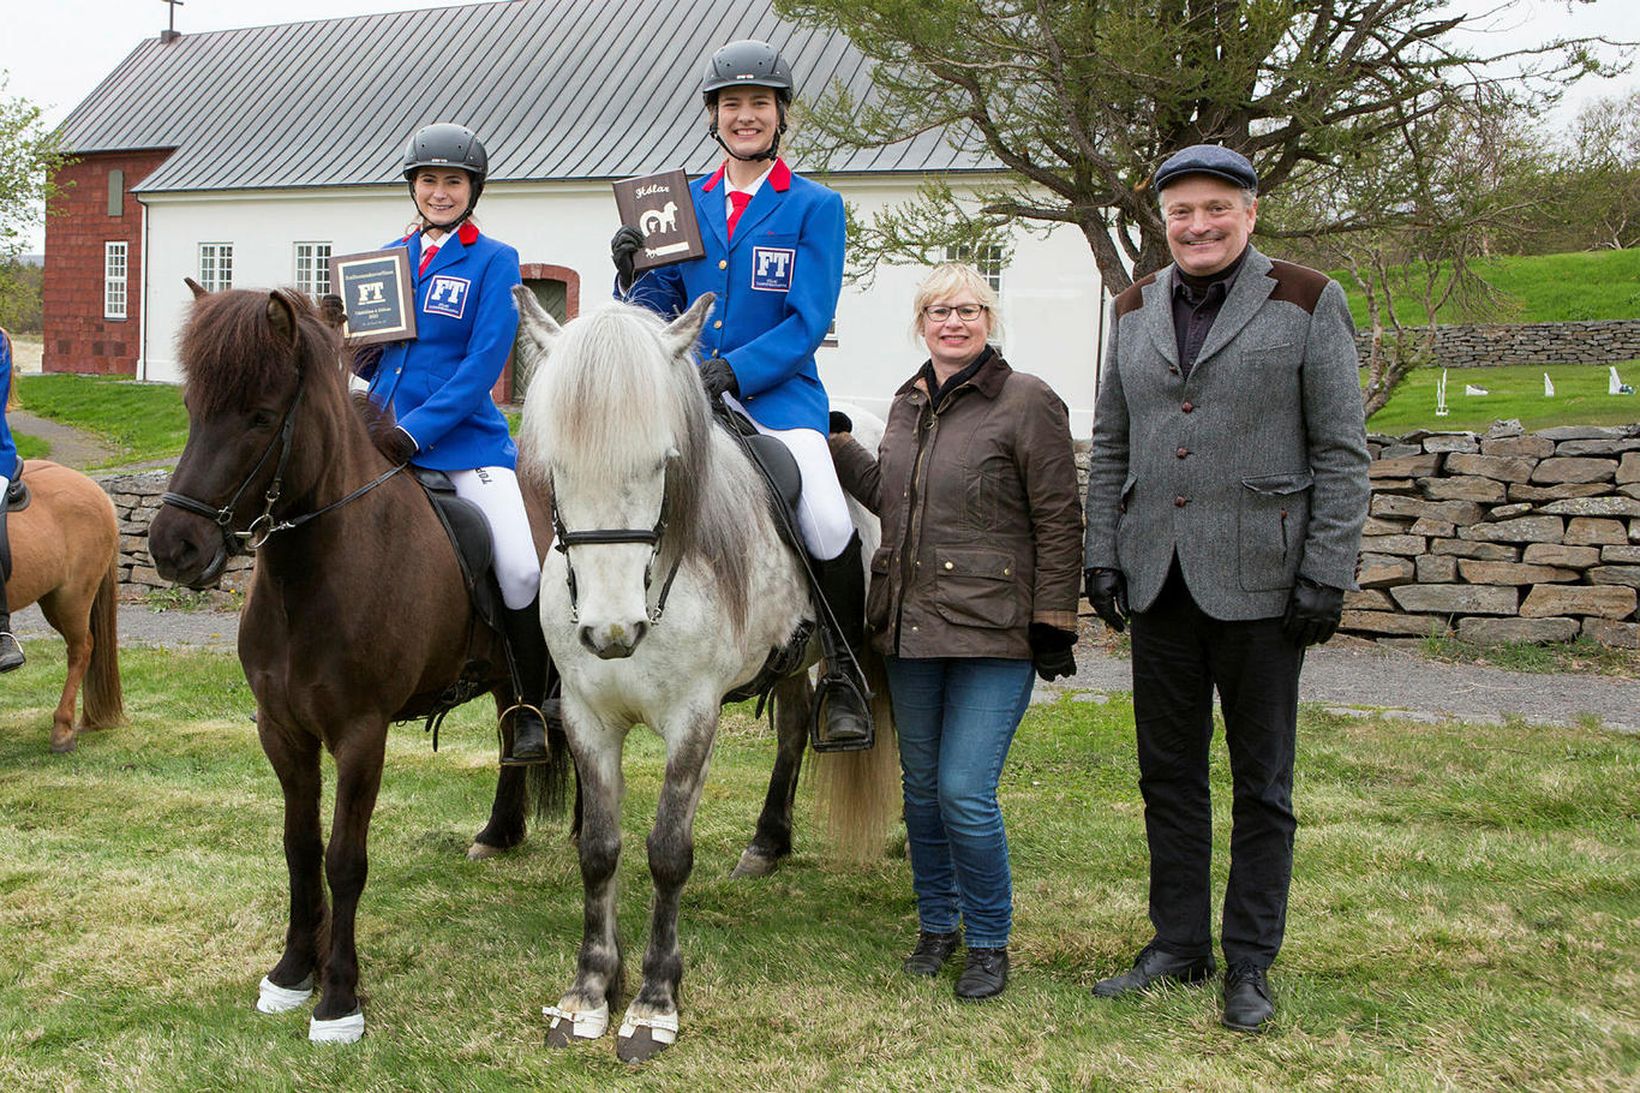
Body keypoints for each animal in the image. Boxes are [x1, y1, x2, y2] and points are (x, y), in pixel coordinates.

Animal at [149, 287, 570, 1037]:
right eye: (193, 407)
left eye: (260, 415)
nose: (174, 547)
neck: (311, 574)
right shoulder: (282, 731)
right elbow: (298, 848)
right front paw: (292, 970)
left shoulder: (360, 734)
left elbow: (344, 859)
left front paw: (339, 997)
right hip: (501, 674)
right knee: (510, 726)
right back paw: (499, 831)